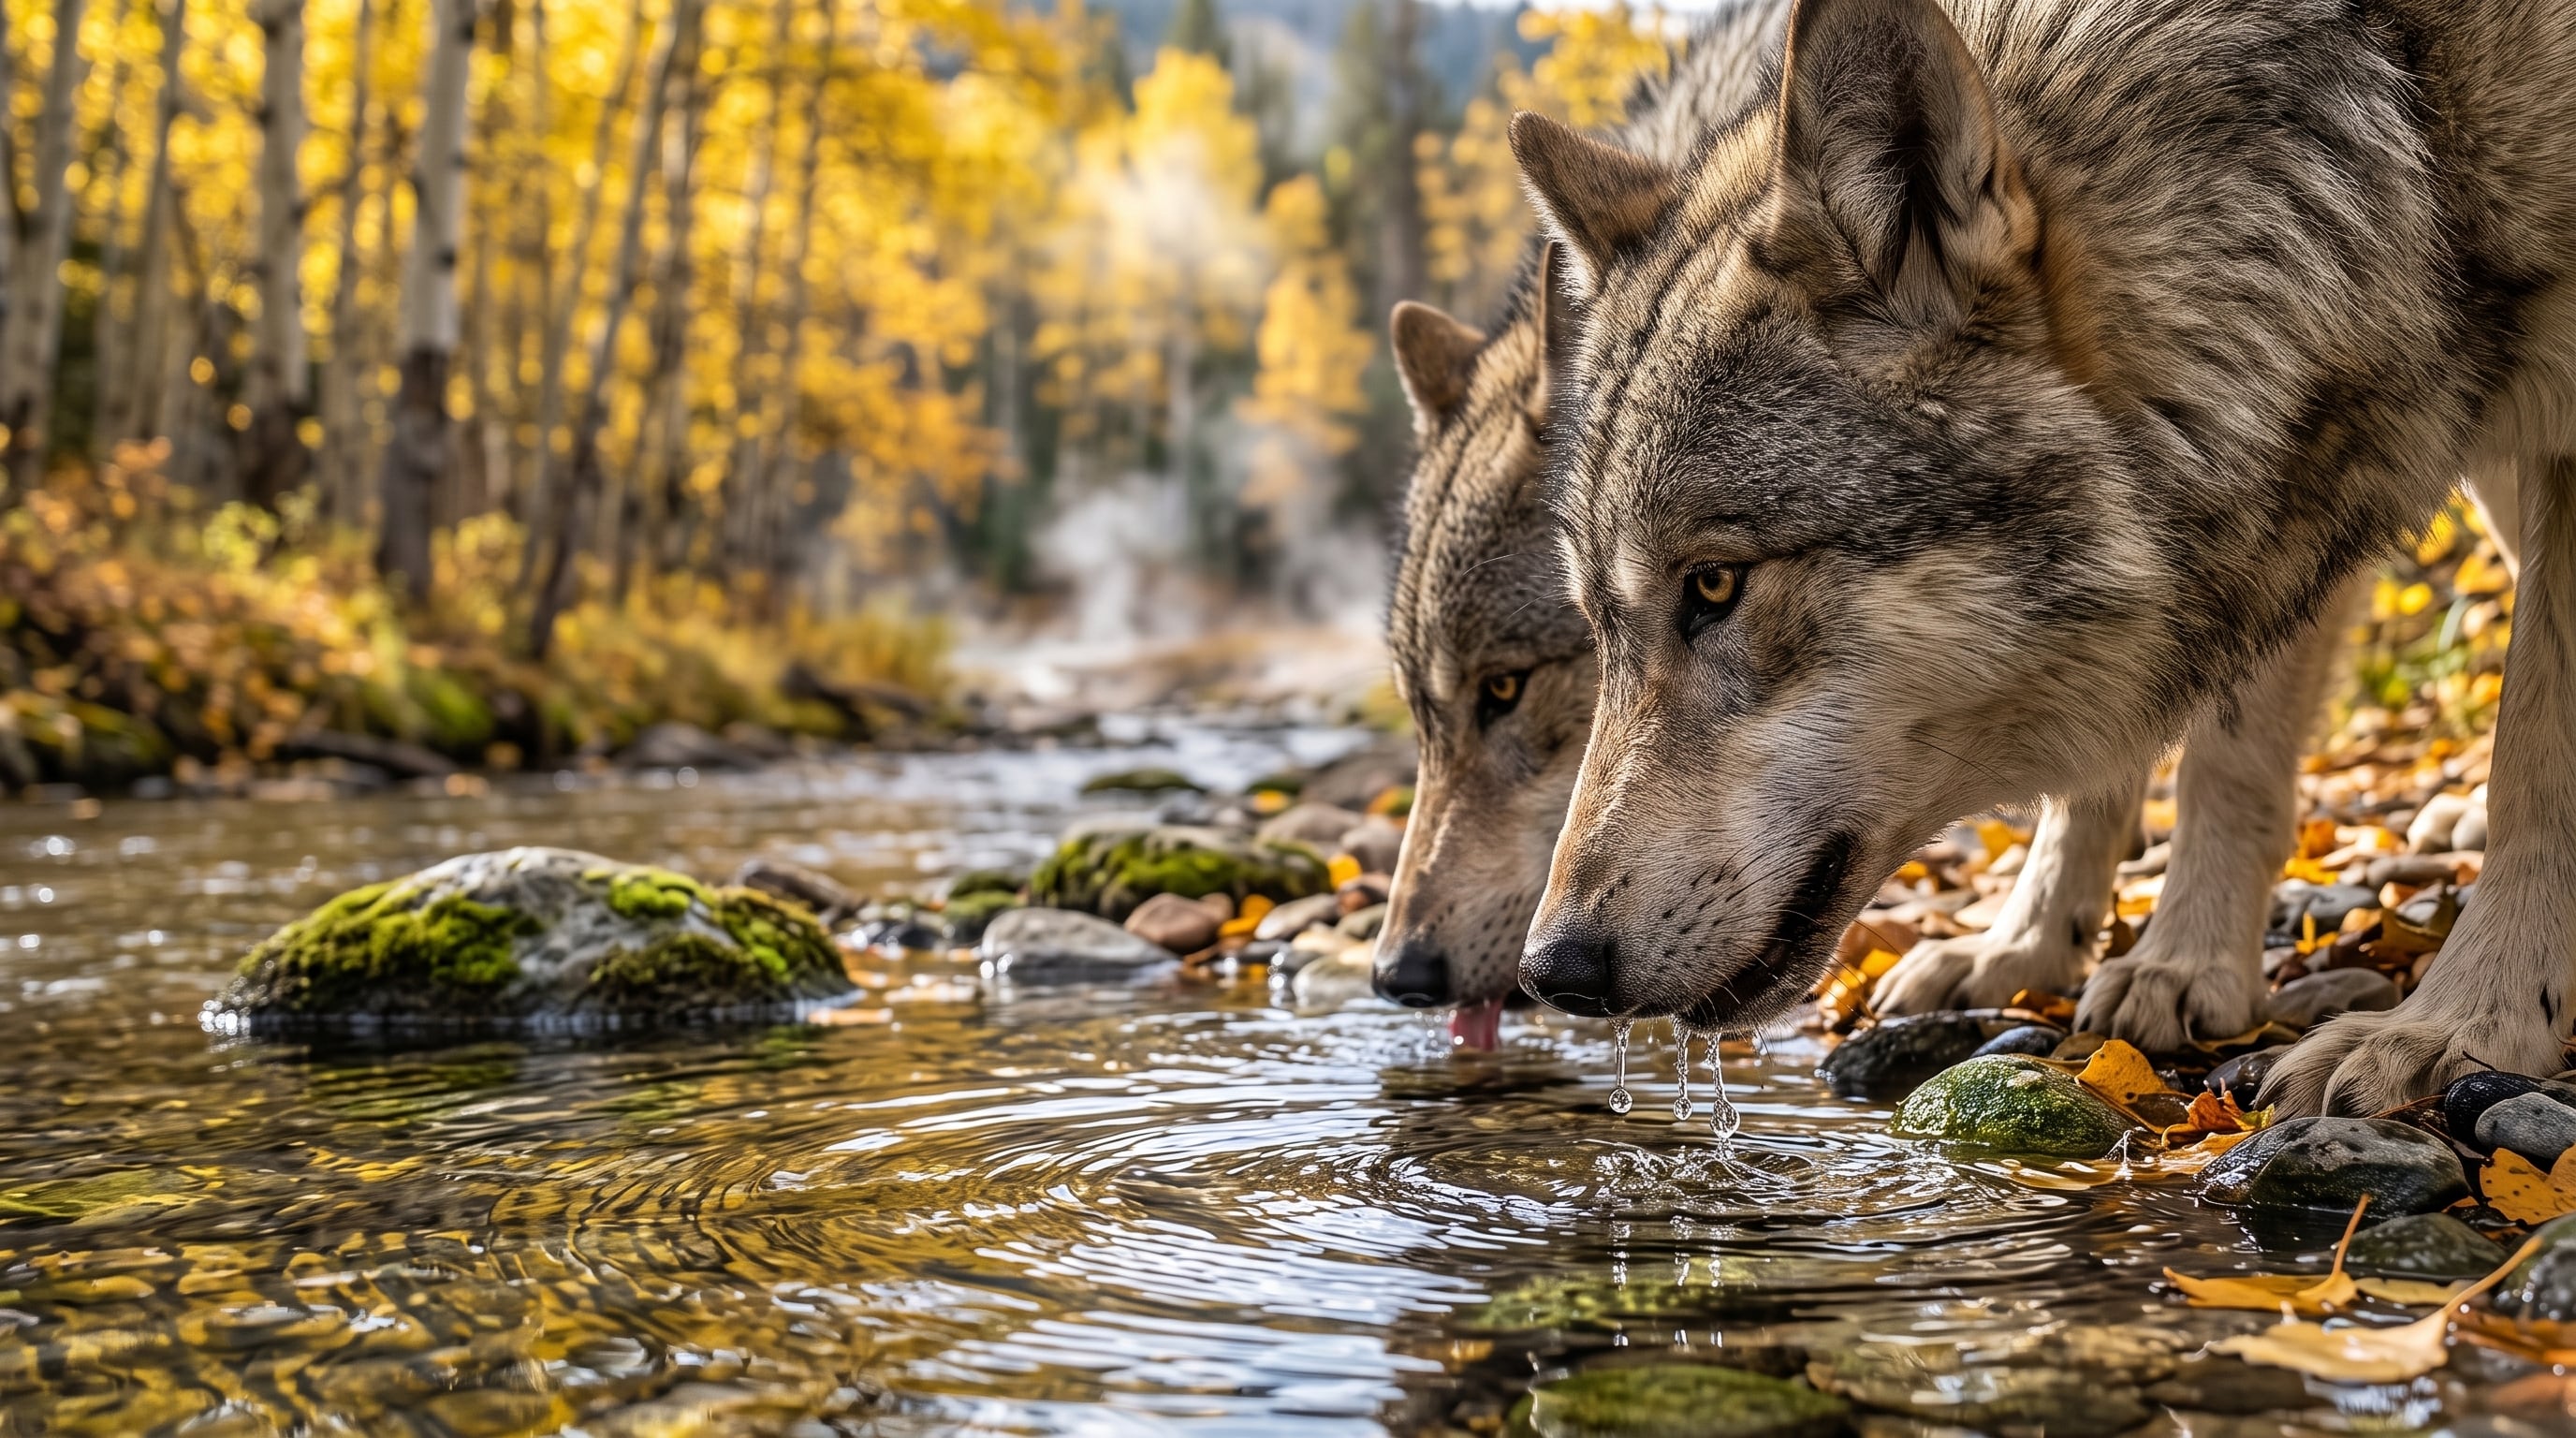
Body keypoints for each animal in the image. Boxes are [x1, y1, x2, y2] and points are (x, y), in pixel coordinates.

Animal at [1509, 0, 2576, 1114]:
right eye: (1599, 629)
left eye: (1714, 584)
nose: (1552, 970)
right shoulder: (2286, 481)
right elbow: (2189, 760)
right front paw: (2056, 952)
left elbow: (2533, 753)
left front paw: (2461, 1024)